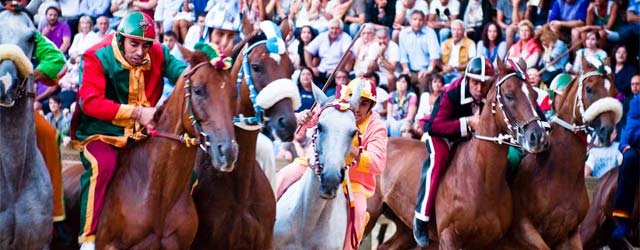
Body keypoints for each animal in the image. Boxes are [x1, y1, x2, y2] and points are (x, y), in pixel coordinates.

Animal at [498, 58, 624, 248]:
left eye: (614, 91)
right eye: (589, 88)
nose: (606, 130)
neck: (561, 173)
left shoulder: (571, 233)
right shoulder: (523, 228)